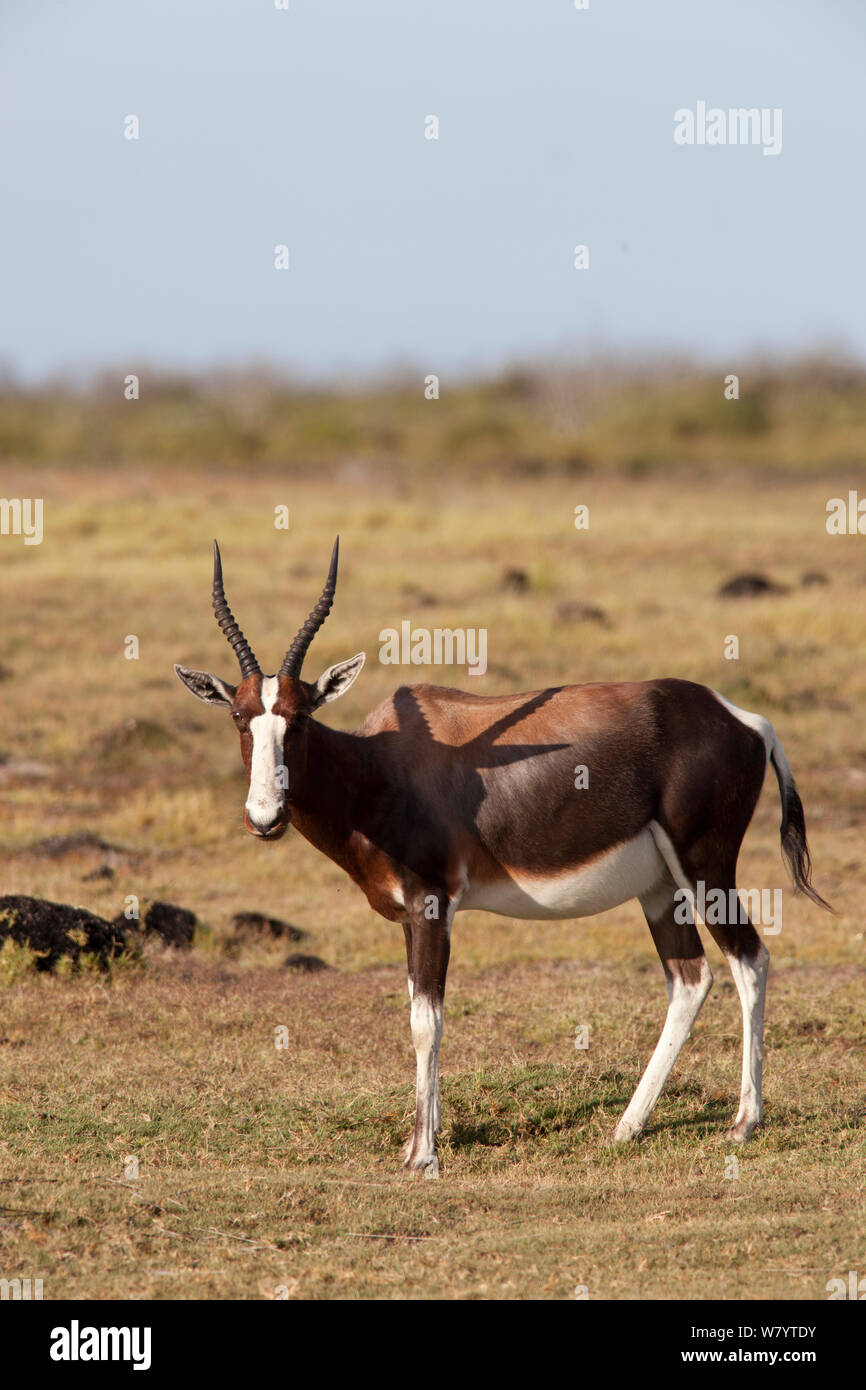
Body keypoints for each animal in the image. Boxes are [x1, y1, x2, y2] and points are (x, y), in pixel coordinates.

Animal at [173, 539, 828, 1173]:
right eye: (240, 716)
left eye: (301, 717)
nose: (265, 818)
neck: (383, 763)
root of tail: (747, 721)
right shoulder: (412, 915)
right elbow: (418, 1010)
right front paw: (426, 1138)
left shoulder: (433, 904)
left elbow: (426, 1021)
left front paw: (423, 1155)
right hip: (660, 889)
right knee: (691, 979)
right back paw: (626, 1129)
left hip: (706, 871)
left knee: (750, 960)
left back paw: (743, 1124)